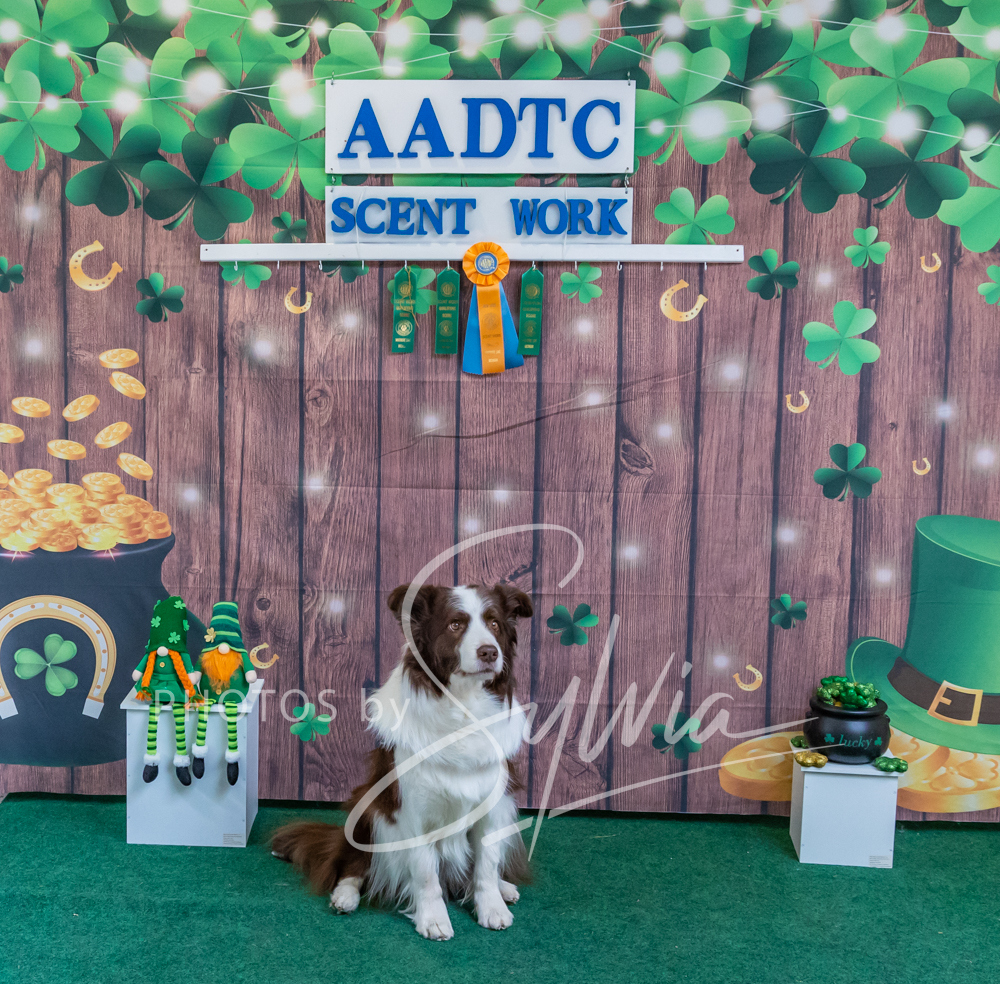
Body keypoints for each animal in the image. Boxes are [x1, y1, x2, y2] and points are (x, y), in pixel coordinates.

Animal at [272, 582, 534, 940]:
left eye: (494, 624)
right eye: (455, 624)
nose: (490, 652)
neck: (463, 707)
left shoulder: (493, 806)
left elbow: (487, 863)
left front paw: (492, 907)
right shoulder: (411, 812)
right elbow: (425, 872)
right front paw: (433, 919)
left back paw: (504, 887)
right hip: (367, 809)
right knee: (353, 863)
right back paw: (345, 895)